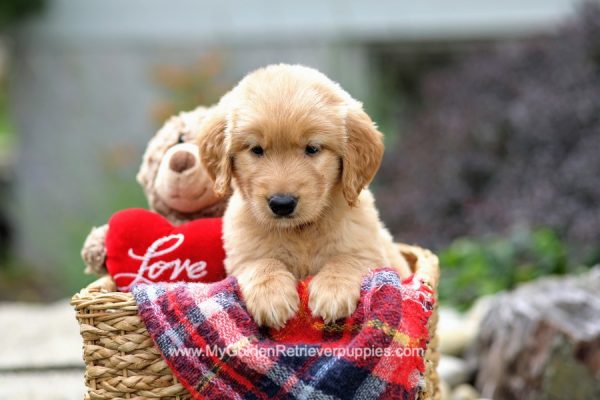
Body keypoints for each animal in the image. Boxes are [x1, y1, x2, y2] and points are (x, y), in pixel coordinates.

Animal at [199, 63, 410, 328]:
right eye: (256, 149)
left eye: (312, 149)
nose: (282, 204)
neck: (301, 231)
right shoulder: (241, 257)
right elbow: (261, 263)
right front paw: (271, 297)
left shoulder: (371, 254)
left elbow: (346, 259)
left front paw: (333, 291)